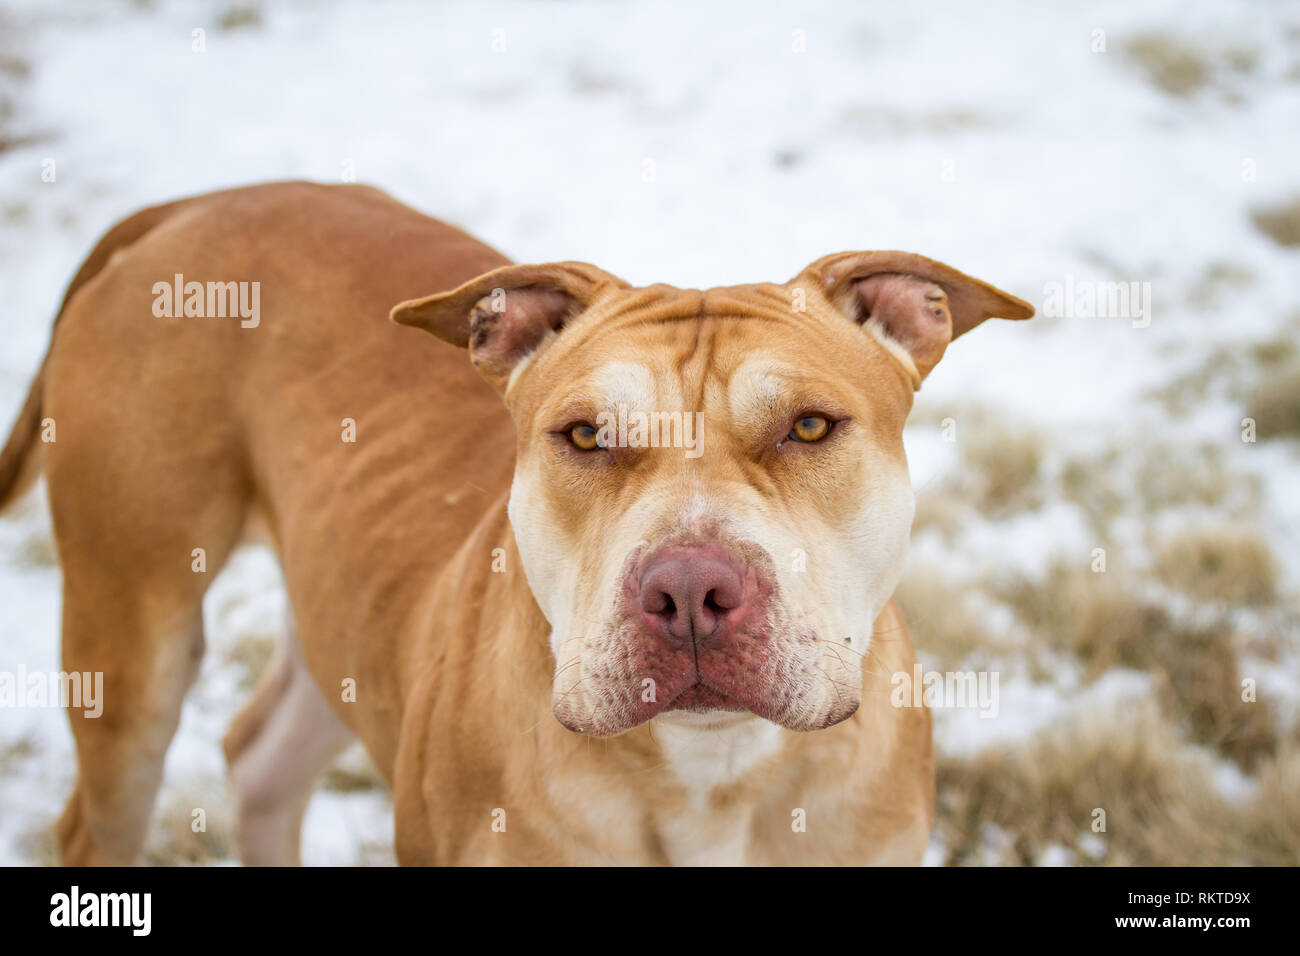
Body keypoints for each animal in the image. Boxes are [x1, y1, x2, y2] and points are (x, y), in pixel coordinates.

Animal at [2, 179, 1034, 868]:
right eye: (584, 435)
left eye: (811, 426)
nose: (690, 587)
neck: (713, 766)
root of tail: (195, 201)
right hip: (130, 638)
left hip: (344, 607)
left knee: (262, 760)